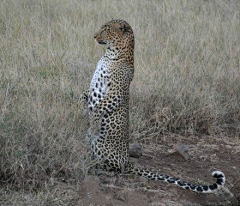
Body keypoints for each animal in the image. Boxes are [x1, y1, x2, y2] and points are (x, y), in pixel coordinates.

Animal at [80, 19, 225, 193]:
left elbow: (98, 108)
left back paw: (96, 166)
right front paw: (81, 104)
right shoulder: (94, 91)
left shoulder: (116, 93)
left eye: (105, 29)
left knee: (116, 168)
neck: (109, 55)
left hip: (101, 145)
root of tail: (127, 160)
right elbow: (86, 96)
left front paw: (92, 123)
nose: (94, 36)